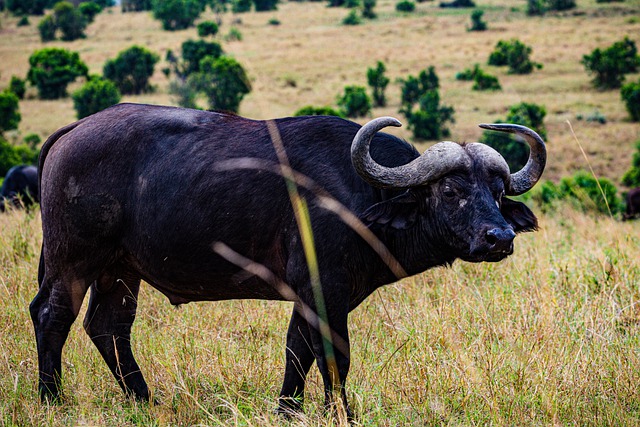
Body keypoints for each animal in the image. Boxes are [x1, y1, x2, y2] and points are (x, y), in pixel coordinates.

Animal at [31, 103, 544, 418]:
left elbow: (297, 351)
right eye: (451, 191)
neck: (362, 196)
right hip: (72, 262)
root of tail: (74, 132)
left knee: (108, 326)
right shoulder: (324, 288)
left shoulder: (309, 294)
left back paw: (145, 401)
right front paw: (341, 414)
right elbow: (335, 355)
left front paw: (287, 410)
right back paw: (52, 399)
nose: (499, 238)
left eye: (498, 192)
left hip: (119, 270)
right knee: (52, 316)